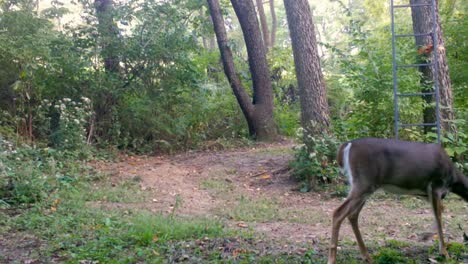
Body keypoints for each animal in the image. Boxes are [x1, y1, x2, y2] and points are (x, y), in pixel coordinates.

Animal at [330, 138, 468, 264]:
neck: (453, 180)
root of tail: (347, 144)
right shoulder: (435, 187)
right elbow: (439, 218)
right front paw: (445, 253)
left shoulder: (427, 194)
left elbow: (439, 213)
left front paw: (426, 236)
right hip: (364, 182)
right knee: (338, 212)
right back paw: (332, 259)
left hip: (365, 186)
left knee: (353, 214)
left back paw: (367, 257)